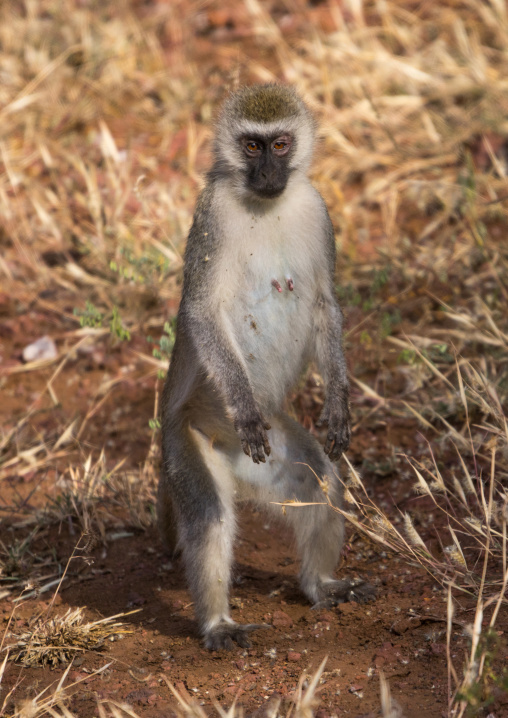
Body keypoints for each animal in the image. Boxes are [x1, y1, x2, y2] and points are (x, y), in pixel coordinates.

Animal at [158, 84, 375, 651]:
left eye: (280, 144)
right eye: (251, 147)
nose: (269, 174)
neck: (267, 206)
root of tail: (227, 449)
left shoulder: (318, 210)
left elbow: (324, 304)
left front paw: (339, 402)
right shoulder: (212, 215)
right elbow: (201, 312)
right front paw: (245, 407)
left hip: (265, 455)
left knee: (316, 480)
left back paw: (321, 586)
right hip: (184, 438)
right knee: (210, 515)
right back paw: (217, 624)